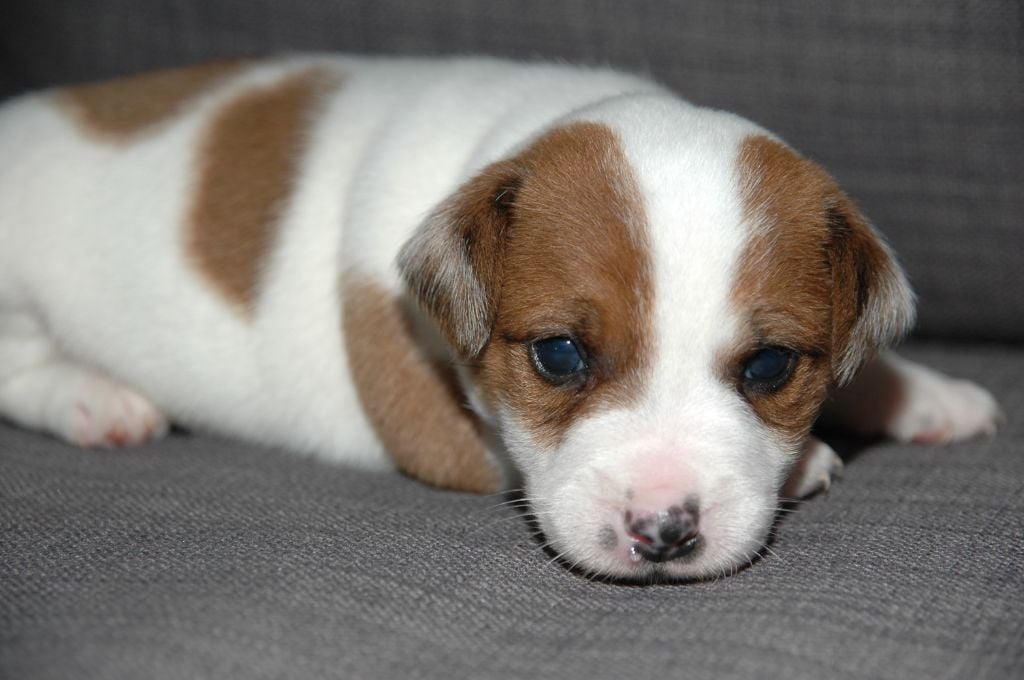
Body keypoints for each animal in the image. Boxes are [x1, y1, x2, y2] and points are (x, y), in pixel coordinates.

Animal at [0, 55, 999, 581]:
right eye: (558, 356)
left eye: (769, 369)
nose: (665, 532)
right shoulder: (437, 431)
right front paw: (816, 458)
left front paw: (919, 393)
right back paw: (95, 398)